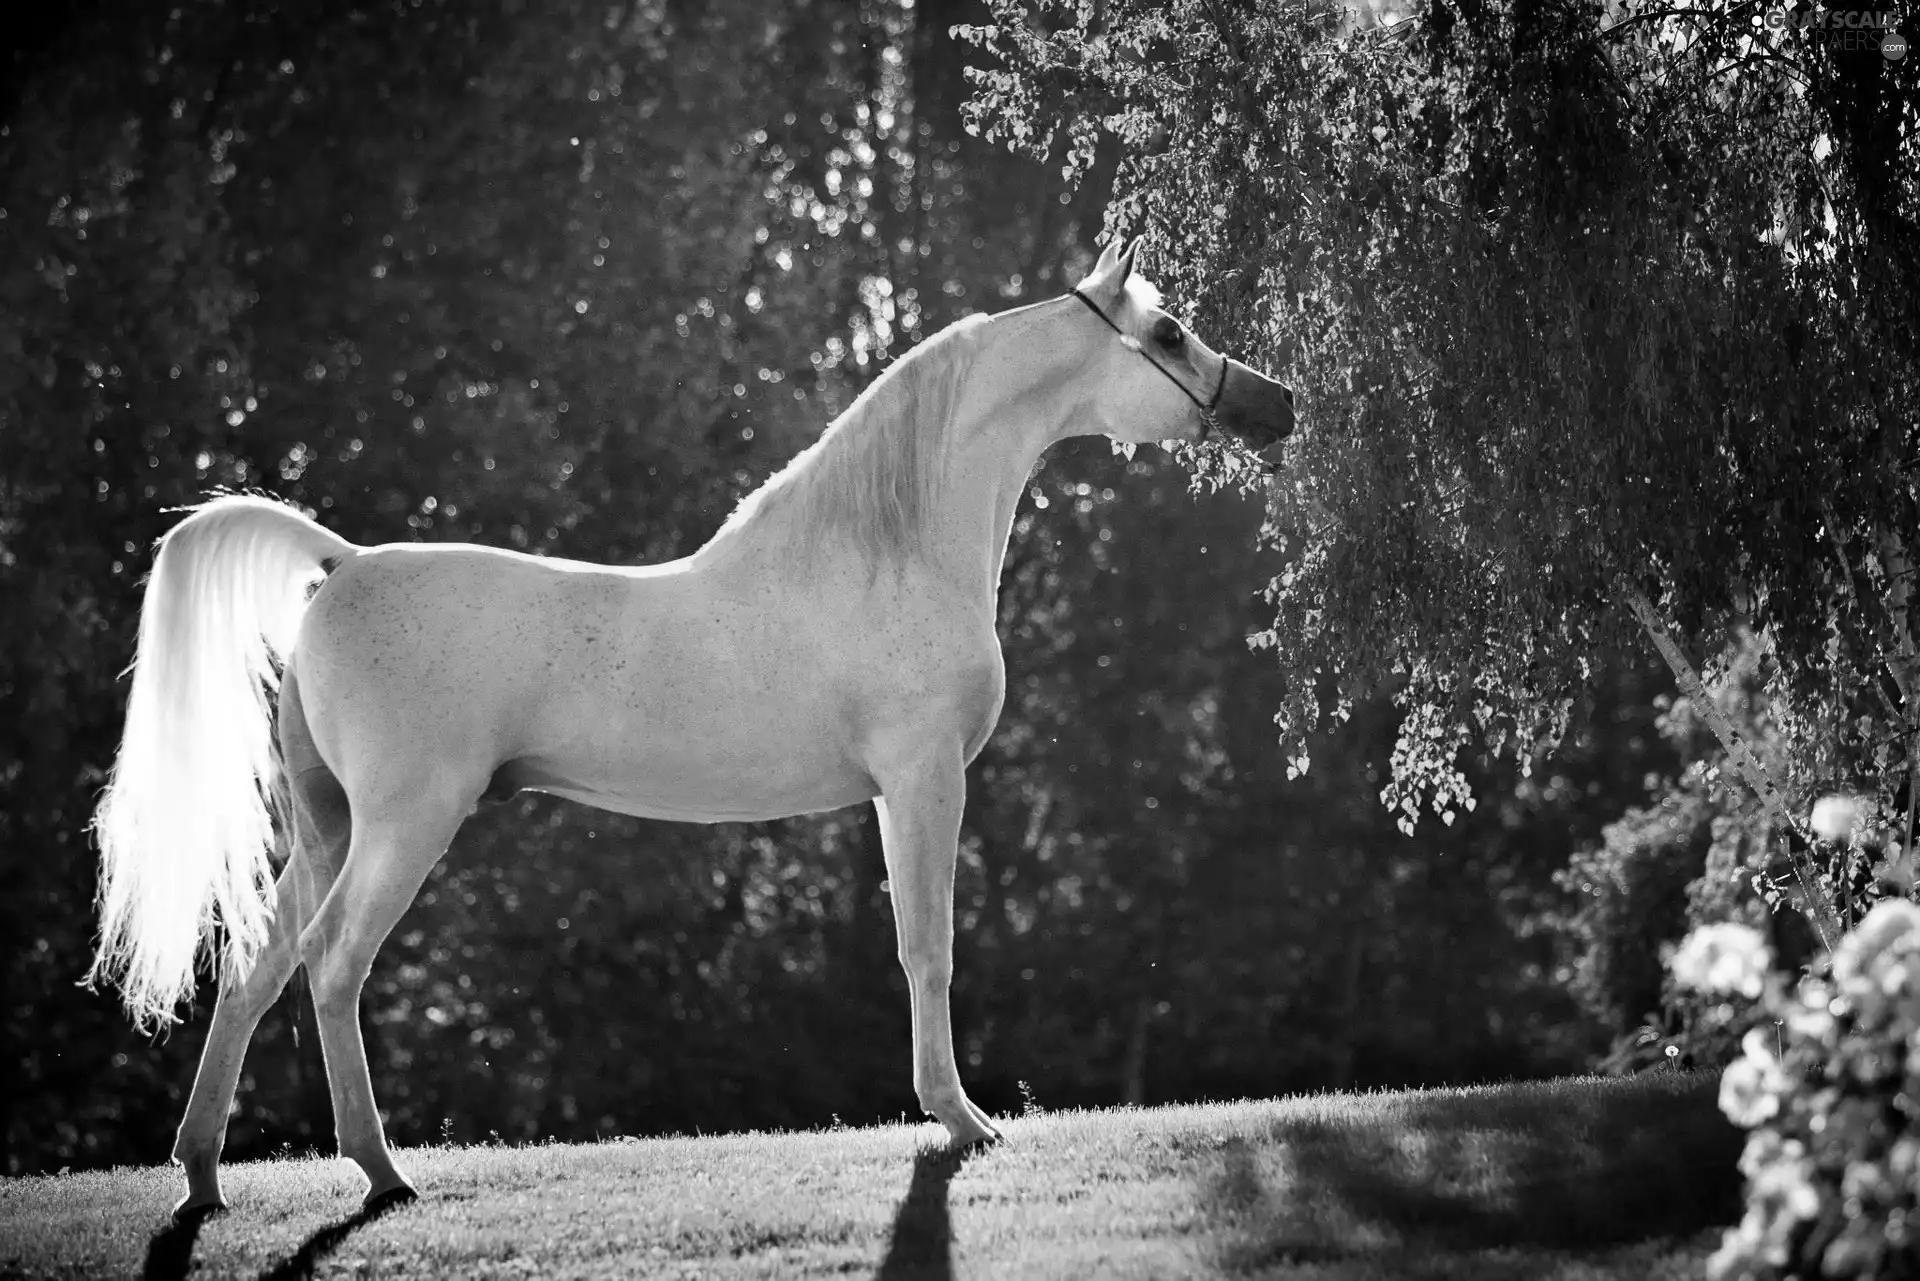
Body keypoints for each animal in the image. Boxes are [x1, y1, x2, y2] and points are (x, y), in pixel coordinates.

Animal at [86, 240, 1290, 1213]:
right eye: (1167, 331)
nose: (1275, 403)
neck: (886, 554)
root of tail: (341, 564)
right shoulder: (923, 782)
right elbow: (929, 947)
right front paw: (961, 1119)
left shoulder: (899, 791)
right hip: (403, 826)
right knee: (334, 967)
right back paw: (382, 1172)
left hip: (327, 830)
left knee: (251, 975)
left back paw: (202, 1175)